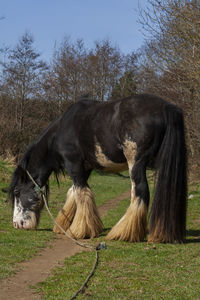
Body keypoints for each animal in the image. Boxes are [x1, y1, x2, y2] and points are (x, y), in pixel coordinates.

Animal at [9, 95, 188, 243]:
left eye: (17, 192)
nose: (17, 224)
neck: (60, 131)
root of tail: (166, 107)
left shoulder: (73, 164)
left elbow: (81, 193)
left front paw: (78, 231)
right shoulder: (85, 168)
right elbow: (74, 192)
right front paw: (64, 225)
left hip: (136, 163)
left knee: (140, 191)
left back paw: (122, 233)